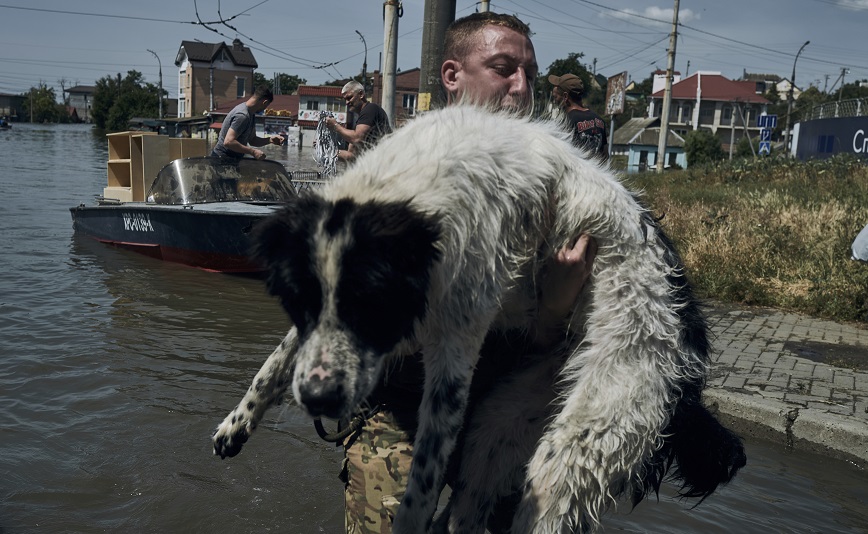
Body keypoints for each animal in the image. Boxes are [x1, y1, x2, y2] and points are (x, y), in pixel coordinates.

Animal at [212, 107, 744, 532]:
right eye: (299, 302)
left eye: (372, 305)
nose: (319, 399)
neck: (409, 189)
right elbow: (276, 361)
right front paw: (237, 423)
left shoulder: (455, 346)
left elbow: (423, 479)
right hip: (501, 425)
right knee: (468, 507)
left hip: (586, 437)